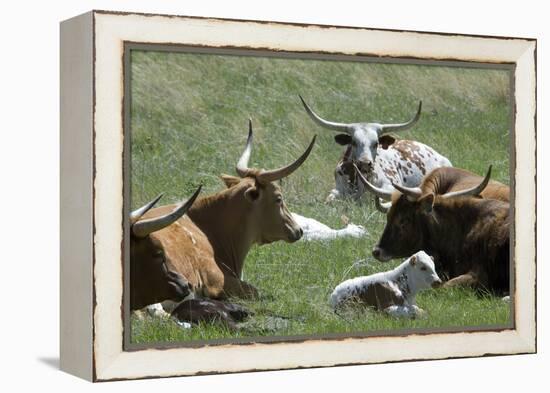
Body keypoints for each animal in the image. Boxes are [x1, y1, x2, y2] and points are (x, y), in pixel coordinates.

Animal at [302, 95, 452, 202]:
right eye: (354, 142)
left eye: (376, 143)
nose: (365, 163)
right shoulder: (337, 189)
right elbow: (331, 198)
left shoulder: (390, 185)